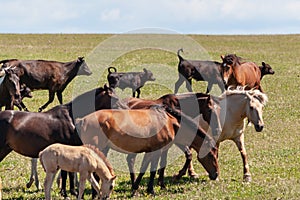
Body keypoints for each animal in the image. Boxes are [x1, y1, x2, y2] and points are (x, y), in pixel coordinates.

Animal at [76, 106, 219, 195]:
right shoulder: (156, 150)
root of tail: (82, 120)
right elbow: (153, 170)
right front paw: (151, 189)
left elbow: (144, 168)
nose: (216, 174)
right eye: (211, 155)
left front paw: (135, 187)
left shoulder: (150, 151)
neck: (168, 121)